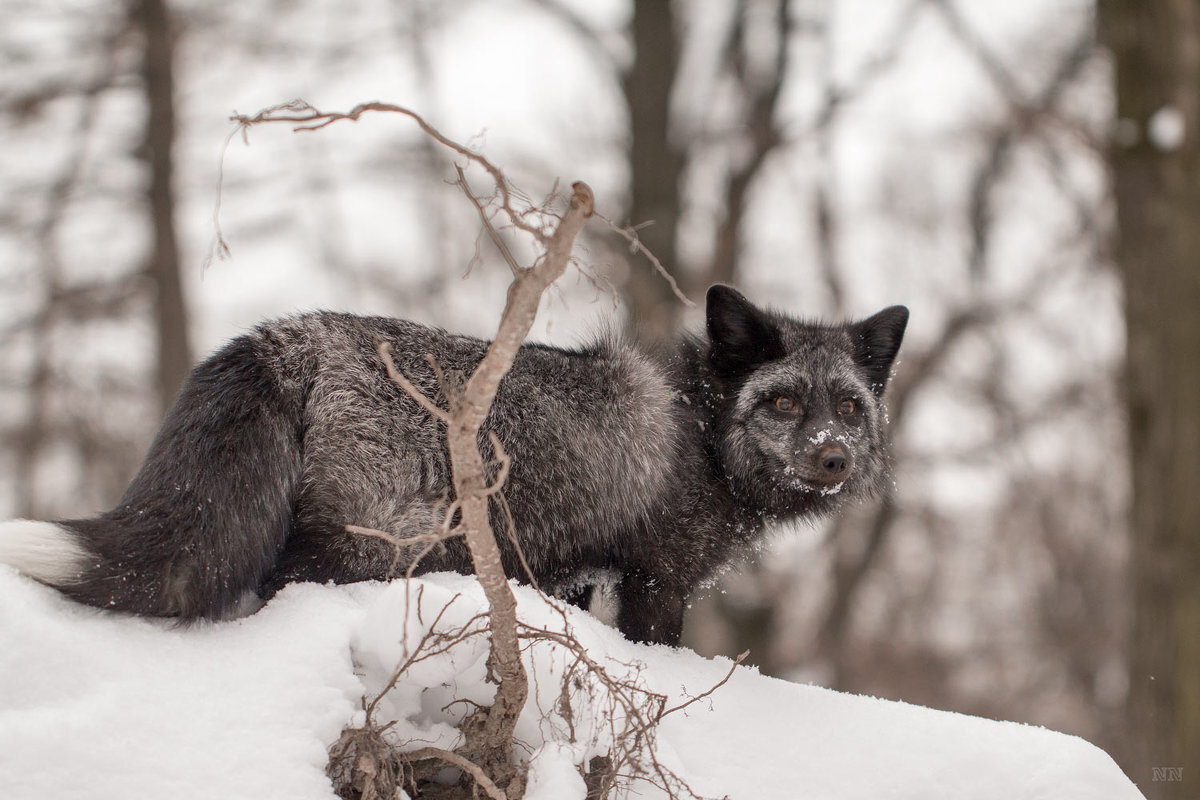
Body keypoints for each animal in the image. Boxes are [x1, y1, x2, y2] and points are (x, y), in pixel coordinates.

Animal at [0, 286, 902, 642]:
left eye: (850, 406)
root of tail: (292, 335)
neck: (704, 435)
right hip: (376, 546)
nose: (831, 457)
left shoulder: (570, 573)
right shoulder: (655, 577)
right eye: (781, 403)